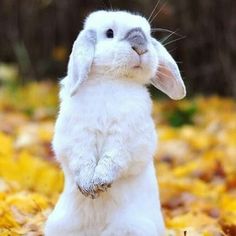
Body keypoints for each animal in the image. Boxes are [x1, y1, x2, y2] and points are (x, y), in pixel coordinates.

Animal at [44, 10, 186, 235]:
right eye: (109, 33)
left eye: (147, 34)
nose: (140, 46)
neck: (112, 80)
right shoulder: (77, 136)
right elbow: (82, 159)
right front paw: (89, 185)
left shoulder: (126, 138)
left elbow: (114, 158)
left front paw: (100, 182)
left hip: (133, 228)